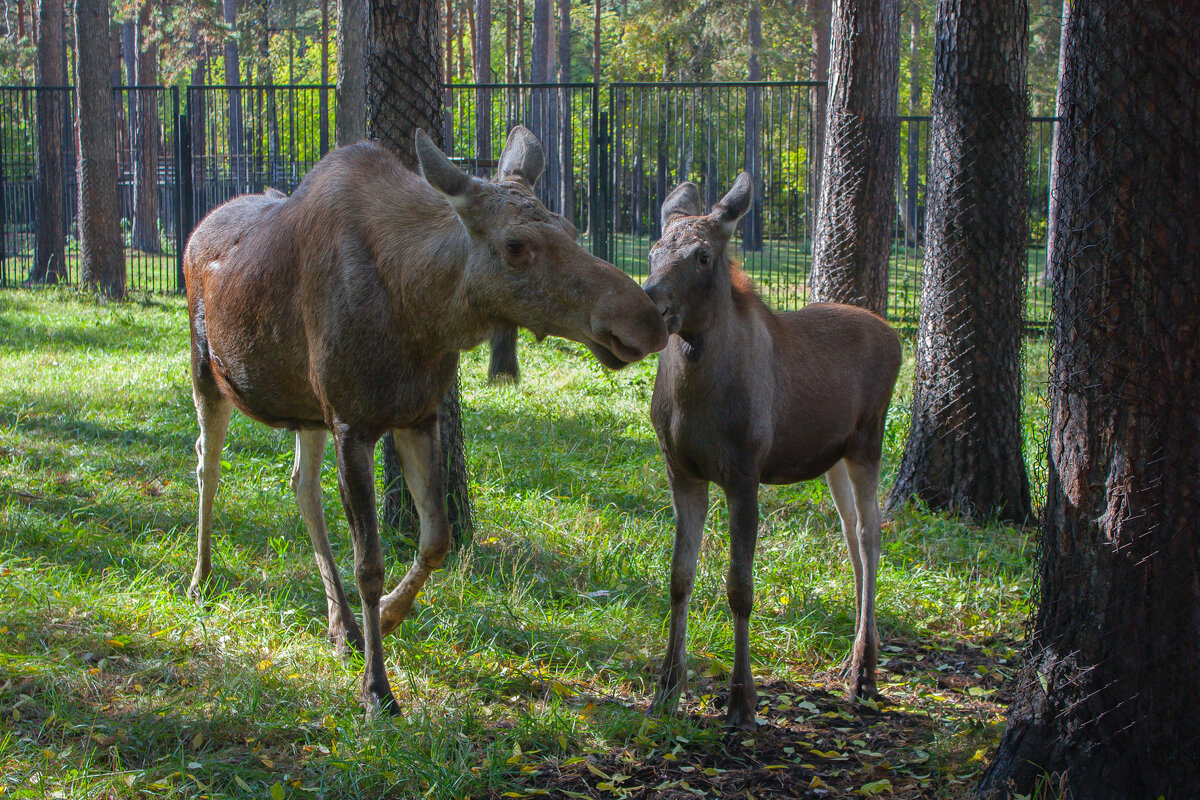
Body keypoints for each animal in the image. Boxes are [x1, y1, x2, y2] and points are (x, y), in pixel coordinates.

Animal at [181, 126, 667, 714]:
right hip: (208, 370)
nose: (645, 320)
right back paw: (201, 579)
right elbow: (369, 564)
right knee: (207, 464)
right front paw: (377, 689)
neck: (423, 315)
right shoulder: (353, 424)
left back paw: (340, 623)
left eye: (572, 229)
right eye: (515, 245)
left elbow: (436, 538)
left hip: (308, 409)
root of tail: (195, 231)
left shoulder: (416, 414)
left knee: (301, 485)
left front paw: (388, 618)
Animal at [643, 175, 897, 734]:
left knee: (872, 535)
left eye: (703, 255)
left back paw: (863, 674)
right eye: (653, 250)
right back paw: (857, 657)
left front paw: (742, 700)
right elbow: (678, 577)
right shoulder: (681, 470)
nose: (649, 302)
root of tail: (895, 335)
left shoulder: (744, 473)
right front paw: (667, 689)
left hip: (868, 442)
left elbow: (740, 587)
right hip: (834, 458)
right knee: (851, 535)